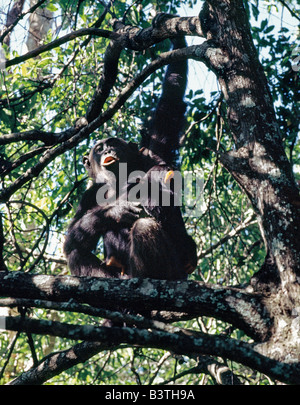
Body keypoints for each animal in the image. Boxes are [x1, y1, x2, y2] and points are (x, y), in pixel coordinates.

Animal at [63, 36, 197, 280]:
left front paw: (176, 40)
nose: (107, 149)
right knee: (76, 253)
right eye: (99, 148)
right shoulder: (88, 196)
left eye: (113, 143)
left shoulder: (153, 155)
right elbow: (72, 238)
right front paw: (116, 210)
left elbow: (169, 104)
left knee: (145, 226)